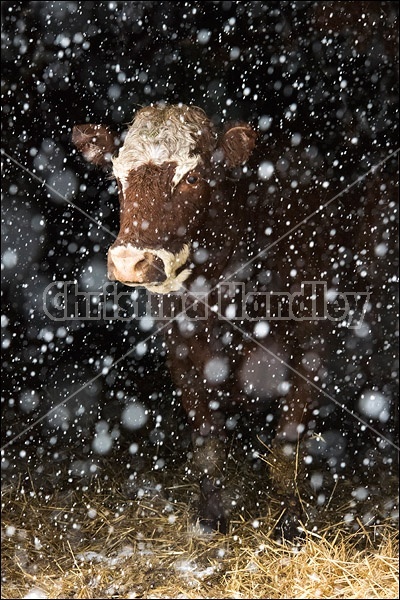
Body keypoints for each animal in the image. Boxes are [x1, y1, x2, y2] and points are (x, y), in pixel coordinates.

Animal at [72, 103, 324, 536]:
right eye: (117, 178)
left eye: (191, 177)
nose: (129, 262)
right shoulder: (182, 354)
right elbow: (206, 440)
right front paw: (210, 518)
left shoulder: (309, 352)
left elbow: (287, 446)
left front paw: (291, 523)